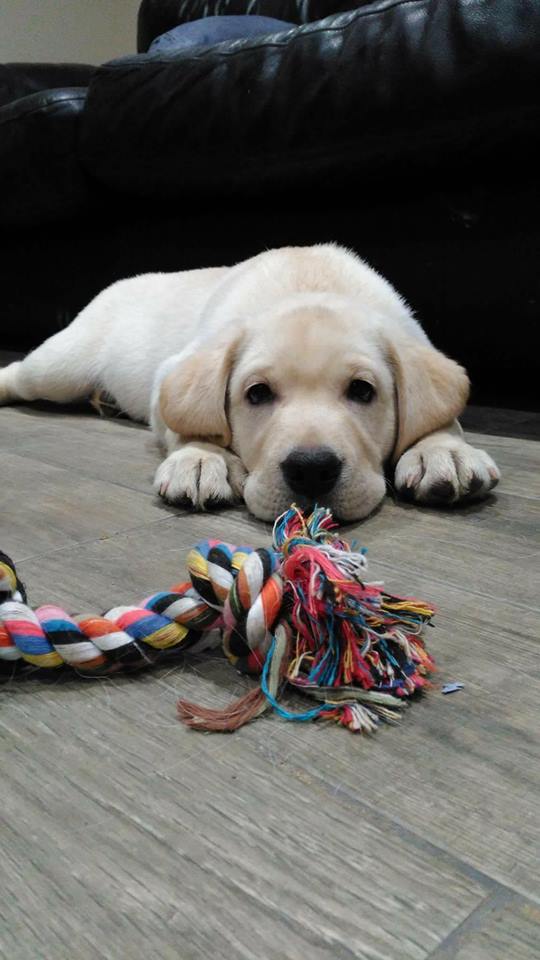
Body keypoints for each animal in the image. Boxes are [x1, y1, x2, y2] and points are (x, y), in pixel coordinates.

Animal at [0, 244, 498, 520]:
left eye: (362, 391)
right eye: (257, 394)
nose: (311, 469)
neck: (309, 283)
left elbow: (439, 413)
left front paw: (443, 451)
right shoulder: (174, 373)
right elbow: (193, 420)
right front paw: (202, 459)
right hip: (60, 366)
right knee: (23, 373)